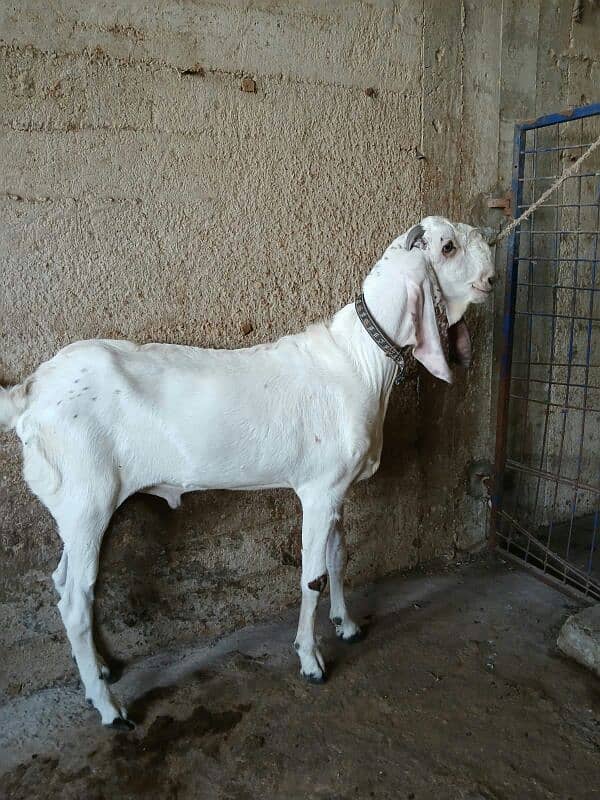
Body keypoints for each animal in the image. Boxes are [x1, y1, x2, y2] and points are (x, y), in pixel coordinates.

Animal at [1, 216, 492, 728]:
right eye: (448, 247)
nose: (492, 270)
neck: (360, 361)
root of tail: (28, 394)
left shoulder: (336, 489)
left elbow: (339, 557)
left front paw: (348, 625)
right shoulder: (318, 489)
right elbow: (313, 576)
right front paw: (310, 660)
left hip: (74, 506)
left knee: (63, 582)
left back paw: (99, 668)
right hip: (89, 499)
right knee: (77, 602)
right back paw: (109, 707)